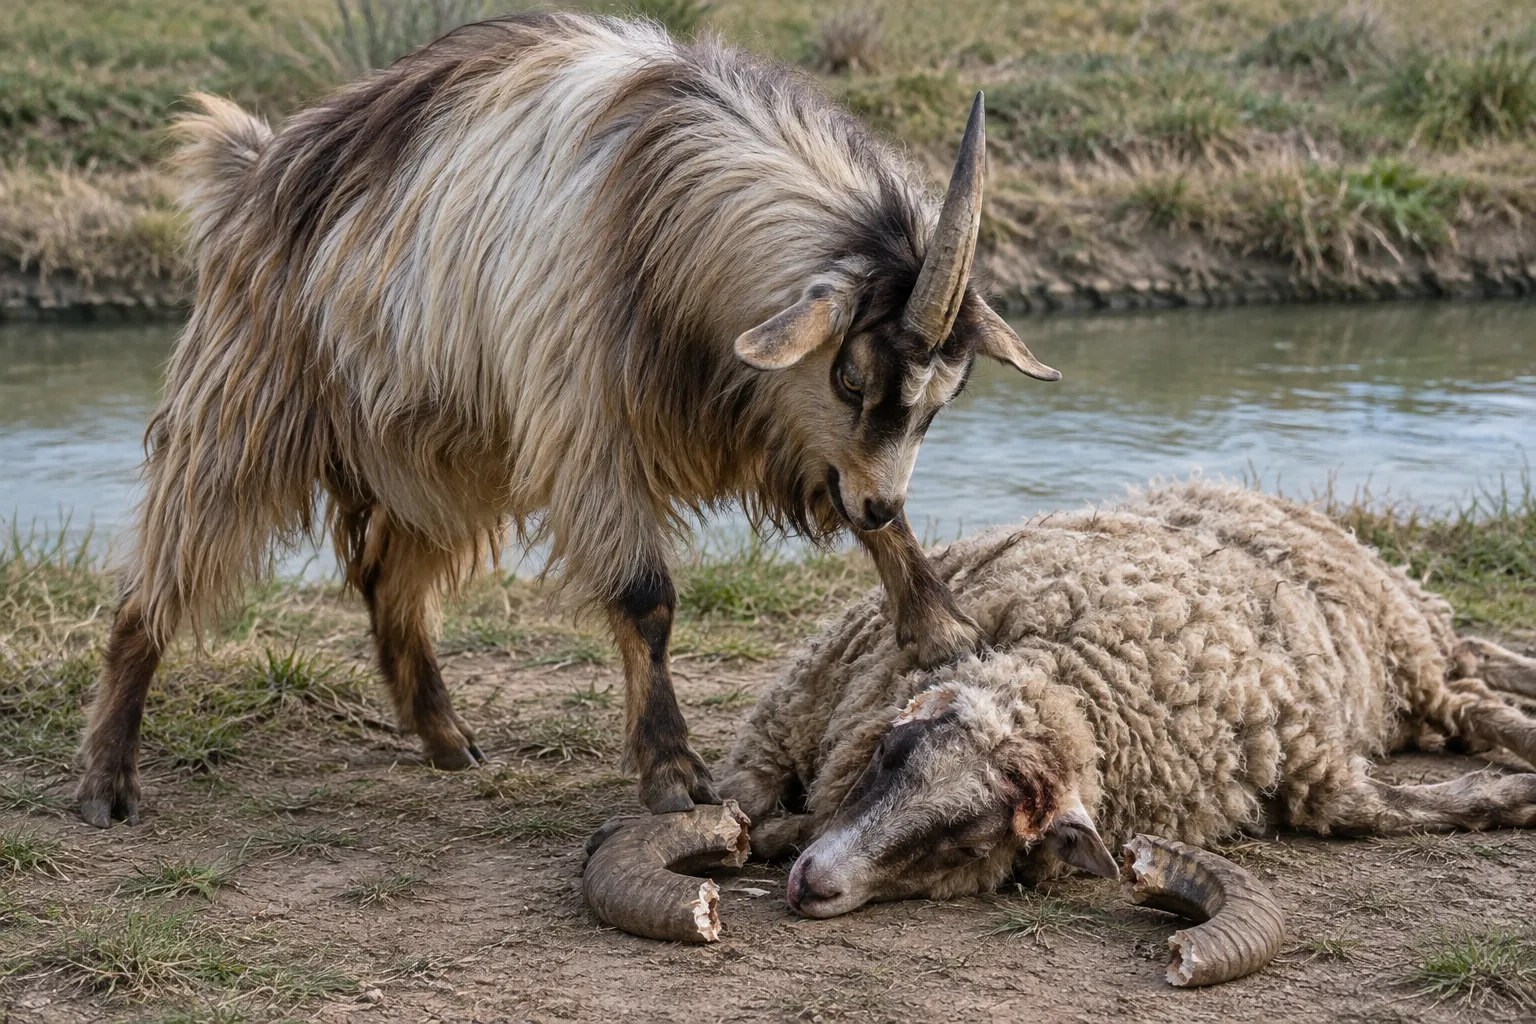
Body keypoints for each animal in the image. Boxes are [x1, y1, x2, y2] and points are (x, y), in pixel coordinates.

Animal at [74, 12, 1059, 827]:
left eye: (942, 399)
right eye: (851, 377)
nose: (879, 502)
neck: (660, 206)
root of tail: (259, 171)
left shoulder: (792, 428)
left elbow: (869, 519)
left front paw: (941, 626)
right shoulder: (589, 419)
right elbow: (647, 598)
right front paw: (672, 770)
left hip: (444, 442)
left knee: (389, 576)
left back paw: (444, 737)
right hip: (249, 402)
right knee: (165, 568)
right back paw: (108, 776)